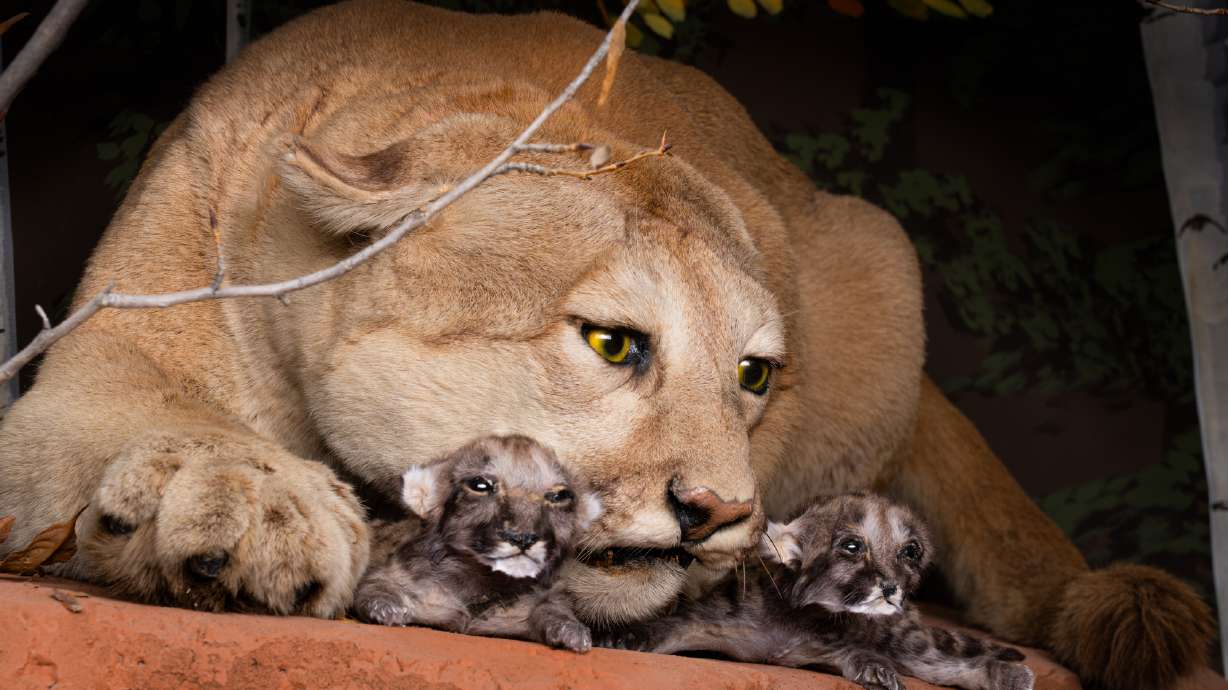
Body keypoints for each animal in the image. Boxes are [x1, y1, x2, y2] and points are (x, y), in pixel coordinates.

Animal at [0, 2, 1211, 689]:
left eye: (752, 374)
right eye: (610, 343)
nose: (719, 512)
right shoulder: (98, 354)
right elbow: (141, 412)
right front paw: (248, 503)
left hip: (882, 253)